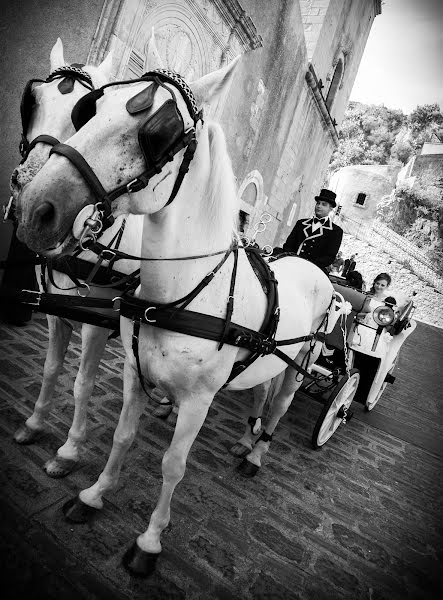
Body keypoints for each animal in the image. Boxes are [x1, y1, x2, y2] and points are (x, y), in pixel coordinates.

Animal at [9, 38, 146, 478]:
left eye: (83, 114)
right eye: (33, 100)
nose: (29, 186)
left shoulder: (95, 325)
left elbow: (82, 383)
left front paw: (69, 450)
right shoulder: (54, 310)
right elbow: (51, 368)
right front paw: (35, 423)